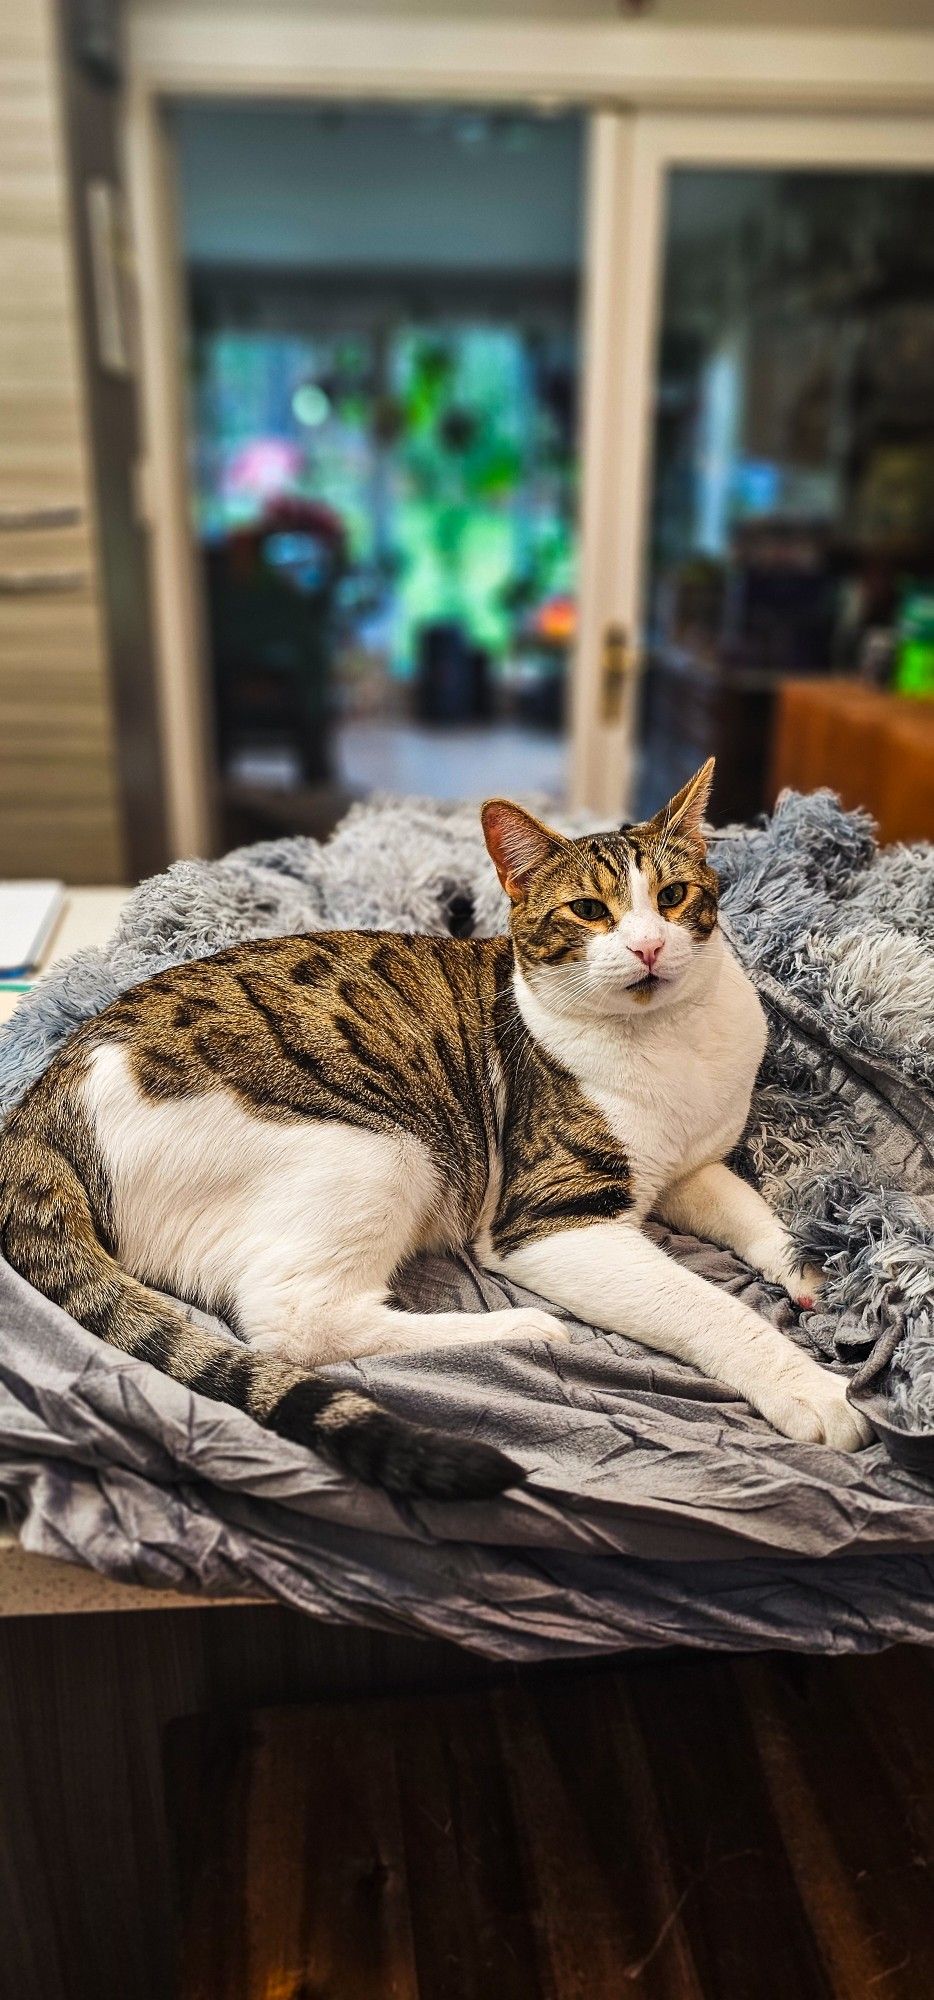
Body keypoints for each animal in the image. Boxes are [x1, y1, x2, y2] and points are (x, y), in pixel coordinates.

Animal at [0, 764, 872, 1504]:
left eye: (675, 893)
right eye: (589, 912)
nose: (650, 946)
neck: (672, 1044)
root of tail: (41, 1104)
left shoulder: (691, 1168)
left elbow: (755, 1213)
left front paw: (813, 1268)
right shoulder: (551, 1220)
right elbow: (703, 1306)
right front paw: (810, 1387)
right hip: (387, 1145)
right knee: (293, 1324)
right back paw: (517, 1328)